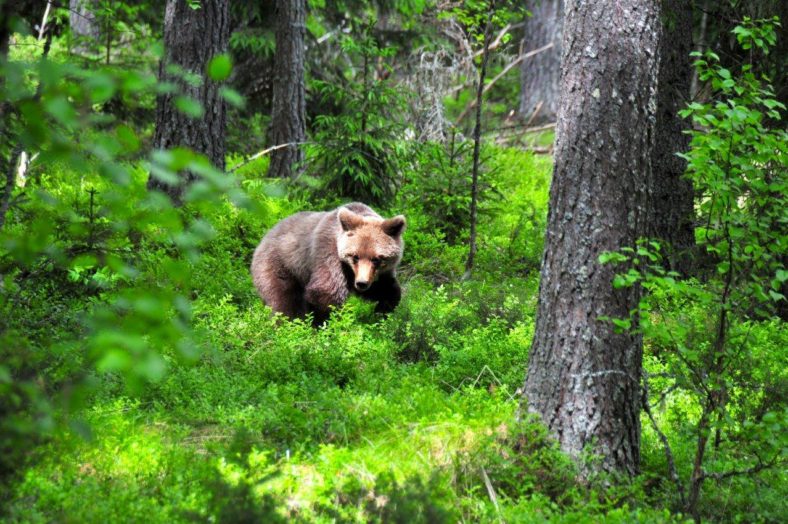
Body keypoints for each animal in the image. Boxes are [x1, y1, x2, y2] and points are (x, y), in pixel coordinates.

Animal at [251, 202, 406, 322]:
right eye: (355, 256)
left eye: (377, 258)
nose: (362, 283)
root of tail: (262, 240)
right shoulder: (329, 254)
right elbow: (326, 291)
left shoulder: (377, 275)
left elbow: (387, 289)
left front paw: (383, 311)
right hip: (281, 265)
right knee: (284, 302)